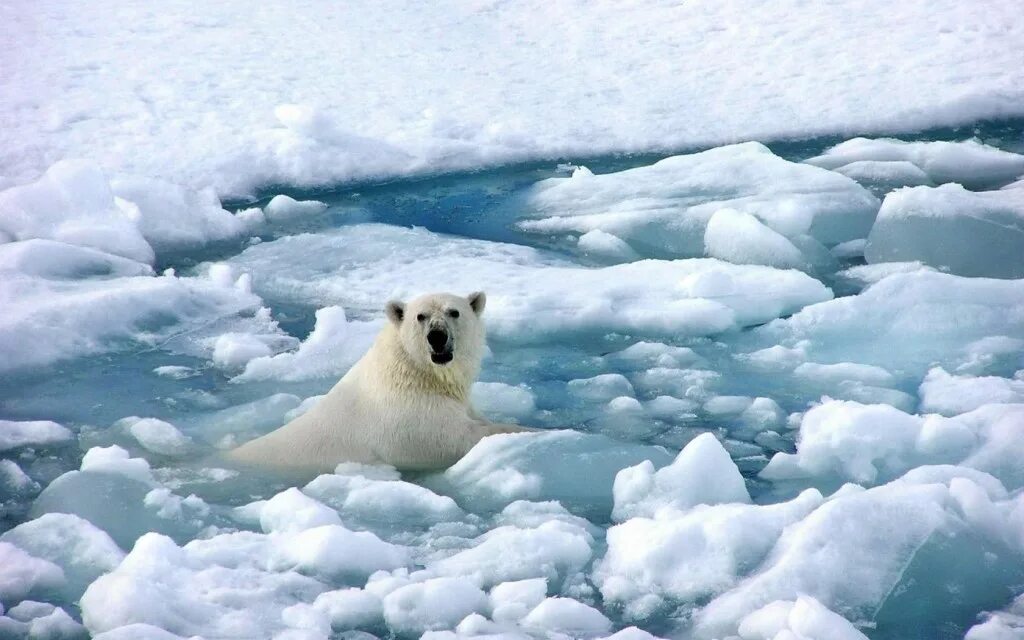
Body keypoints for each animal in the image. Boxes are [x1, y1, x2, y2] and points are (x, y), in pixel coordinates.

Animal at [224, 292, 528, 471]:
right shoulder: (409, 418)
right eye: (420, 316)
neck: (415, 374)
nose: (437, 336)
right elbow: (456, 438)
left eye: (454, 312)